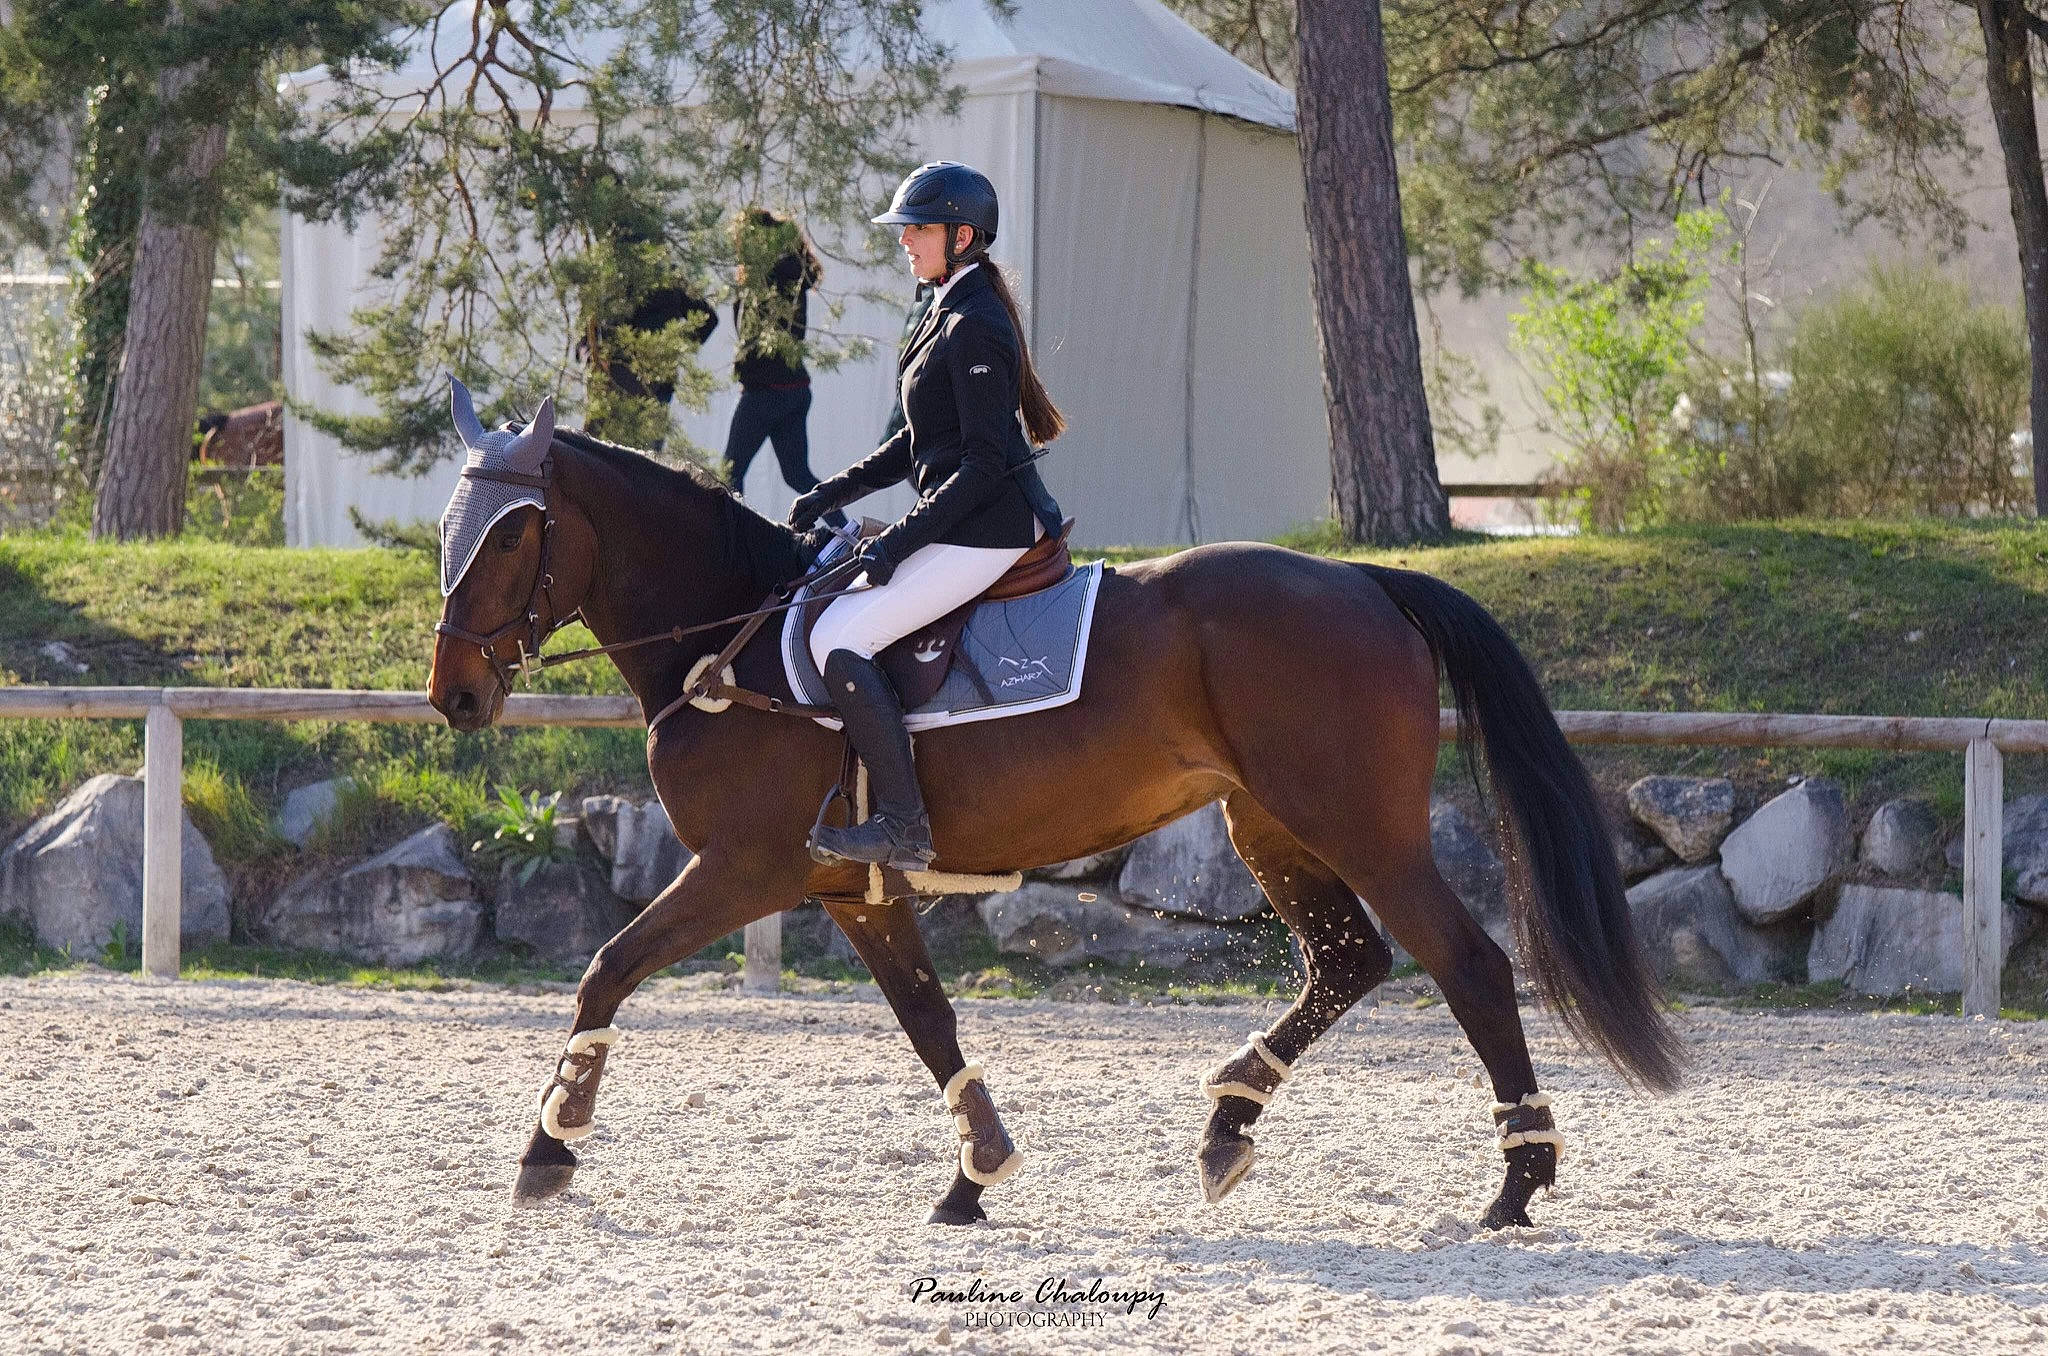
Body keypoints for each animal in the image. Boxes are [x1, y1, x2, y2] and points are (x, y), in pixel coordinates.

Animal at [426, 391, 1682, 1231]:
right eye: (448, 531)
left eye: (512, 533)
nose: (455, 696)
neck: (730, 633)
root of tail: (1367, 580)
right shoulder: (850, 887)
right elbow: (928, 1022)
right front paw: (974, 1173)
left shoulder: (745, 869)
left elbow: (604, 971)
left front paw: (548, 1147)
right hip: (1266, 825)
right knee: (1346, 960)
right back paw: (1228, 1123)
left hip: (1358, 827)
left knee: (1465, 965)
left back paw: (1516, 1181)